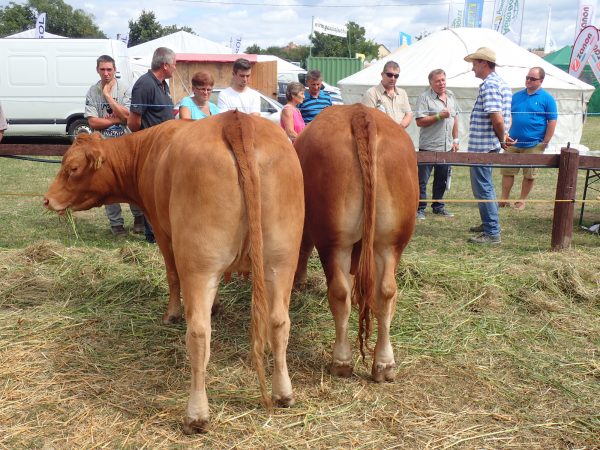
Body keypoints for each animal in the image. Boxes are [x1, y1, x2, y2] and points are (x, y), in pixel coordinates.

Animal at [45, 110, 304, 434]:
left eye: (72, 168)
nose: (47, 199)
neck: (148, 150)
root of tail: (235, 120)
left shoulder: (162, 229)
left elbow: (171, 276)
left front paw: (171, 314)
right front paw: (217, 304)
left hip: (199, 262)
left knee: (199, 333)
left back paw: (196, 415)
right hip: (281, 260)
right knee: (279, 322)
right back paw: (284, 394)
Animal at [294, 104, 418, 384]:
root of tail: (360, 114)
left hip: (334, 242)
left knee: (340, 293)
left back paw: (341, 362)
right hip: (389, 243)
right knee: (386, 292)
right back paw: (384, 364)